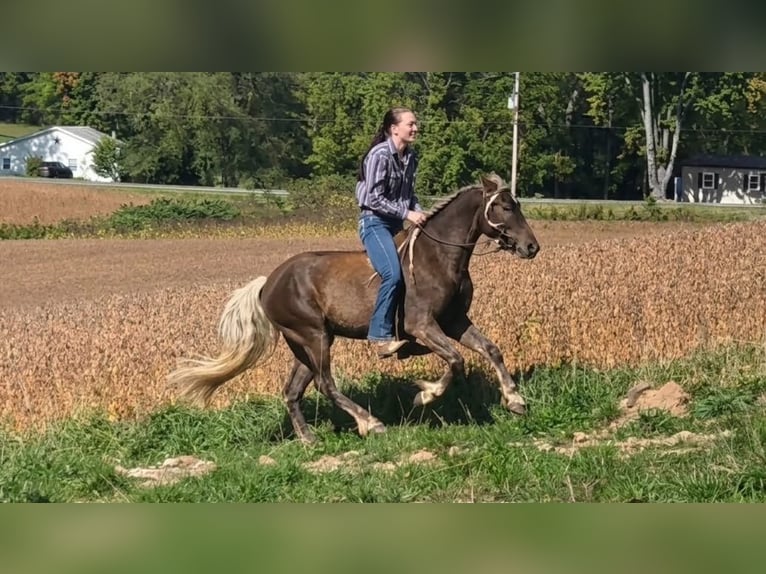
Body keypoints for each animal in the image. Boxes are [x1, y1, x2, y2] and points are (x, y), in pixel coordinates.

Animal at [167, 173, 540, 443]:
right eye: (504, 207)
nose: (531, 247)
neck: (438, 257)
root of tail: (268, 283)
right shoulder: (423, 325)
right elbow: (455, 359)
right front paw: (424, 395)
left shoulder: (455, 321)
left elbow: (490, 349)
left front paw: (515, 400)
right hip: (313, 336)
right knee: (325, 384)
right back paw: (371, 424)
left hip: (307, 342)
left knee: (293, 391)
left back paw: (309, 440)